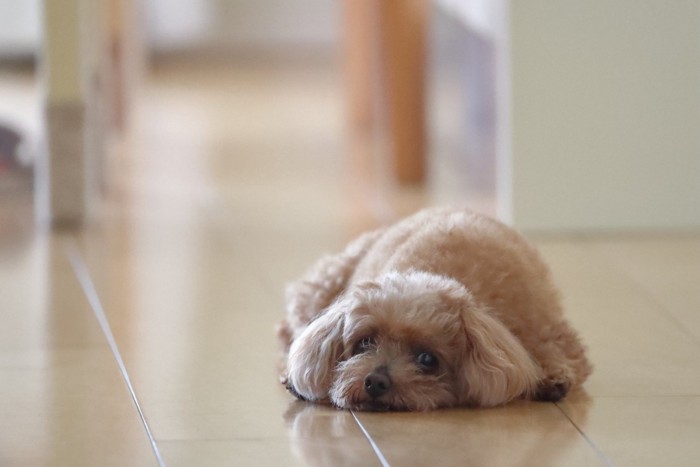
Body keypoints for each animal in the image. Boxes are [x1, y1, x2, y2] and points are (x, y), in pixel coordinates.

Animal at [278, 207, 592, 412]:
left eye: (427, 359)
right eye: (364, 343)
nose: (375, 381)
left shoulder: (547, 329)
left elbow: (567, 356)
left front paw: (553, 376)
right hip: (324, 283)